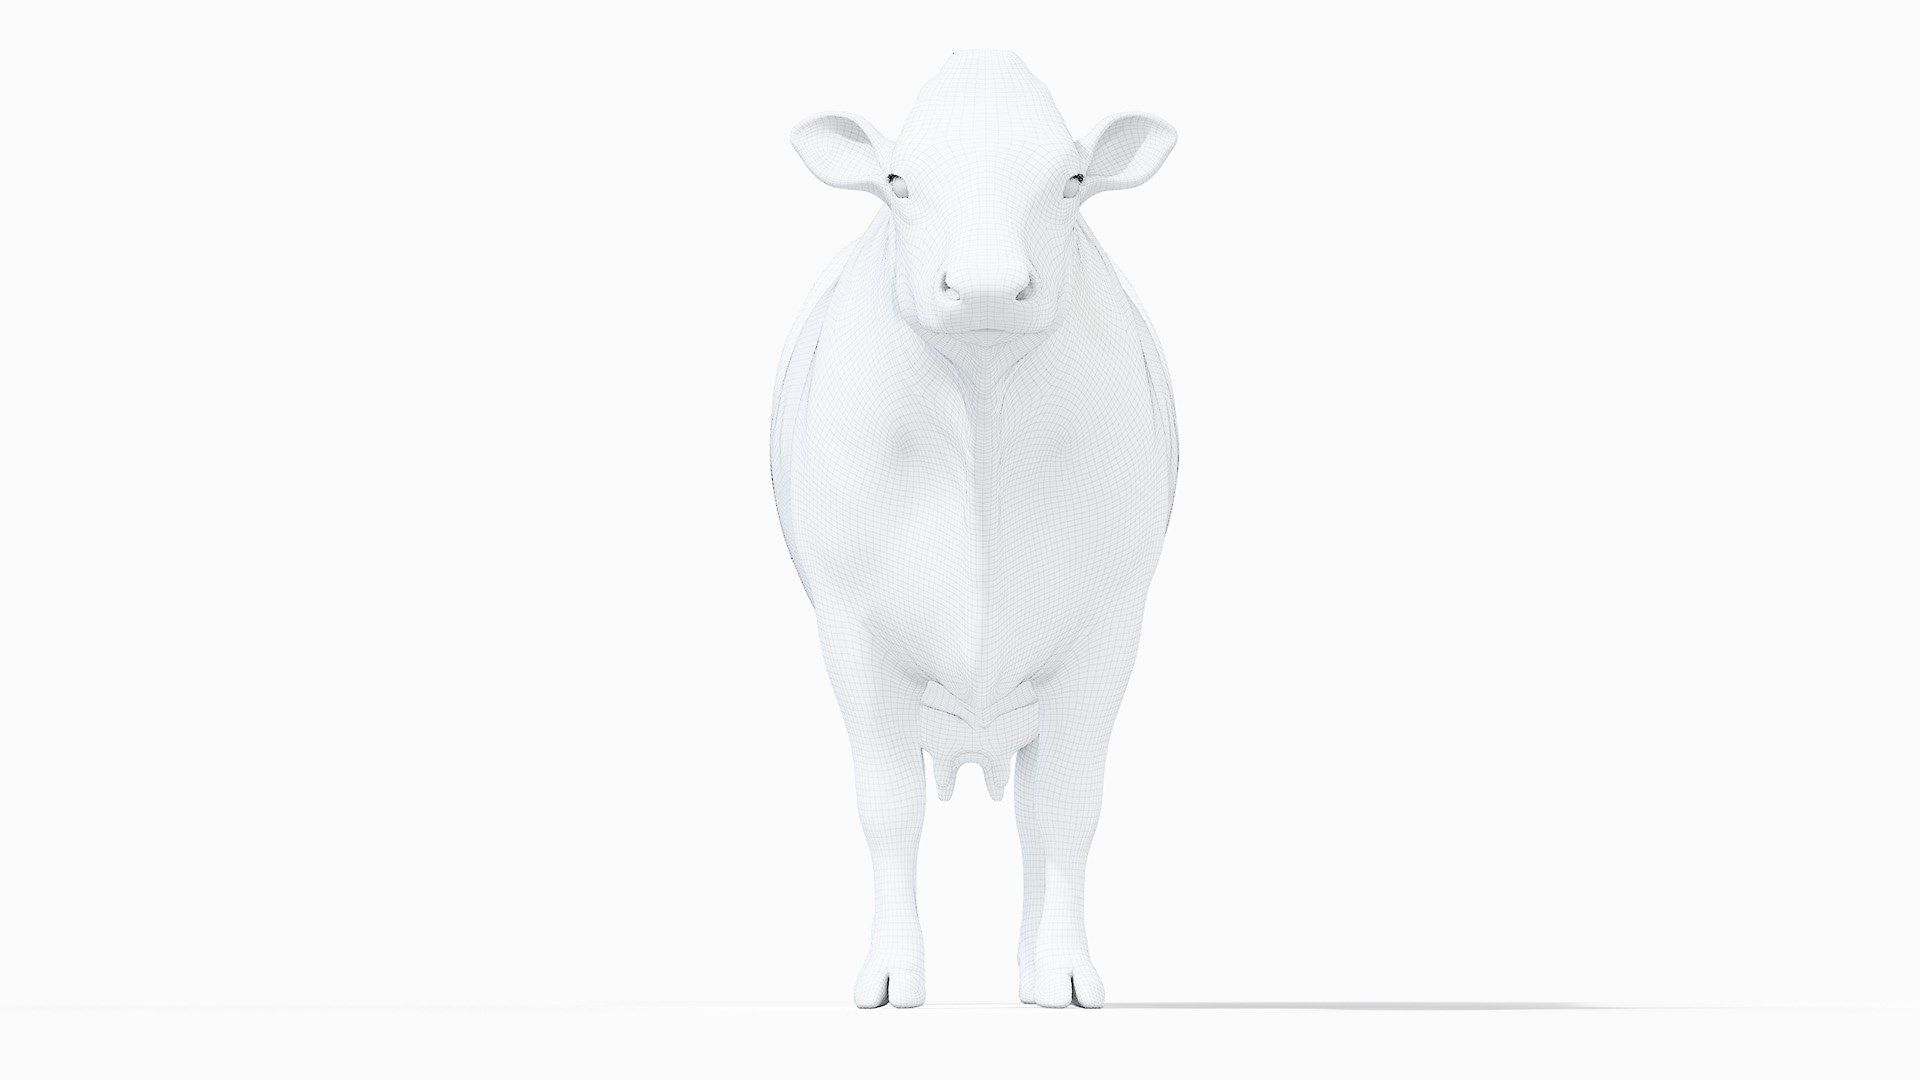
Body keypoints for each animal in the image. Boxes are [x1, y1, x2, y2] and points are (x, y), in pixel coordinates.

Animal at [771, 50, 1178, 1009]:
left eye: (1071, 181)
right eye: (897, 181)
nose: (989, 286)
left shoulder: (1108, 630)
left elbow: (1068, 807)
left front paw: (1065, 973)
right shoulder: (852, 630)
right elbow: (887, 806)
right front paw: (890, 976)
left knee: (1031, 814)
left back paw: (1032, 971)